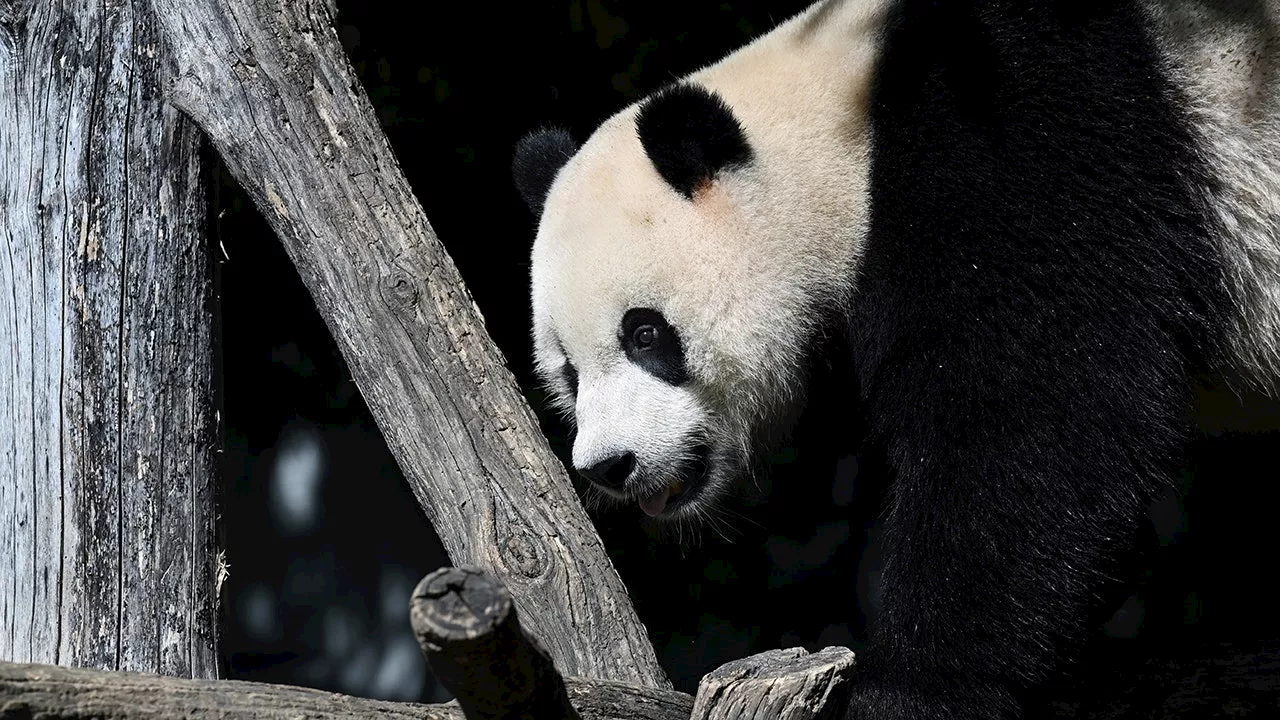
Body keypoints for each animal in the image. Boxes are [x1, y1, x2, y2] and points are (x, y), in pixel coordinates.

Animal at [509, 1, 1280, 717]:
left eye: (645, 334)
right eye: (568, 373)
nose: (610, 465)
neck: (843, 124)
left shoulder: (1018, 131)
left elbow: (1044, 414)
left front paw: (908, 688)